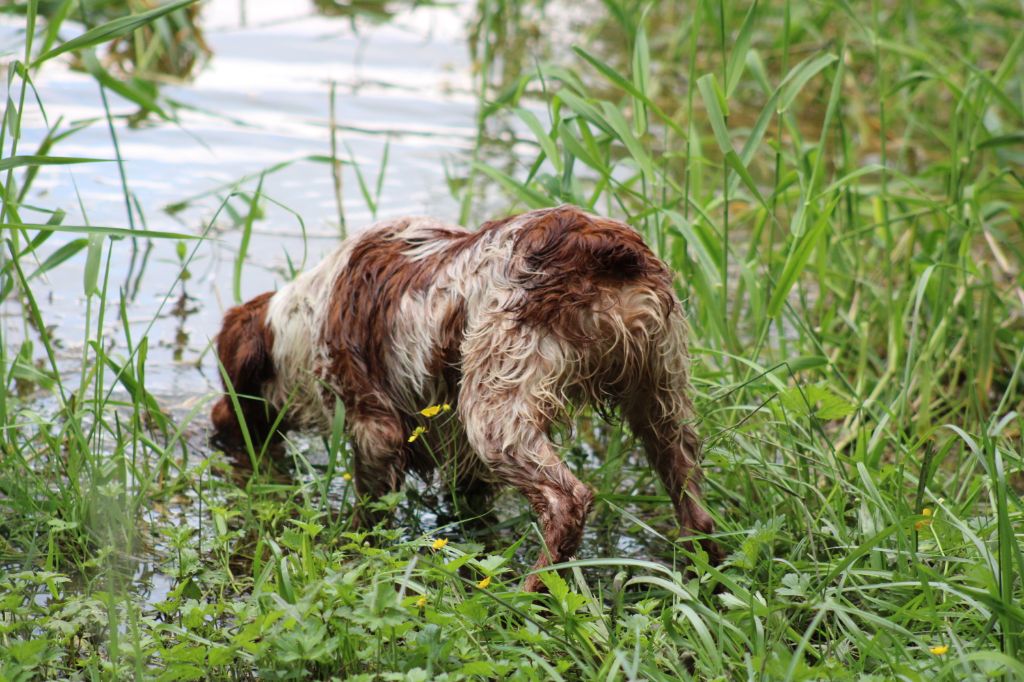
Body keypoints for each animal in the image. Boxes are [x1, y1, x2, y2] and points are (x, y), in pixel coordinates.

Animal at [208, 204, 720, 585]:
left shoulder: (375, 429)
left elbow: (370, 515)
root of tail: (602, 248)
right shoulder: (460, 461)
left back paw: (531, 595)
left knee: (566, 501)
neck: (305, 319)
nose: (215, 429)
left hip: (496, 412)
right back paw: (704, 575)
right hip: (662, 397)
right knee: (695, 507)